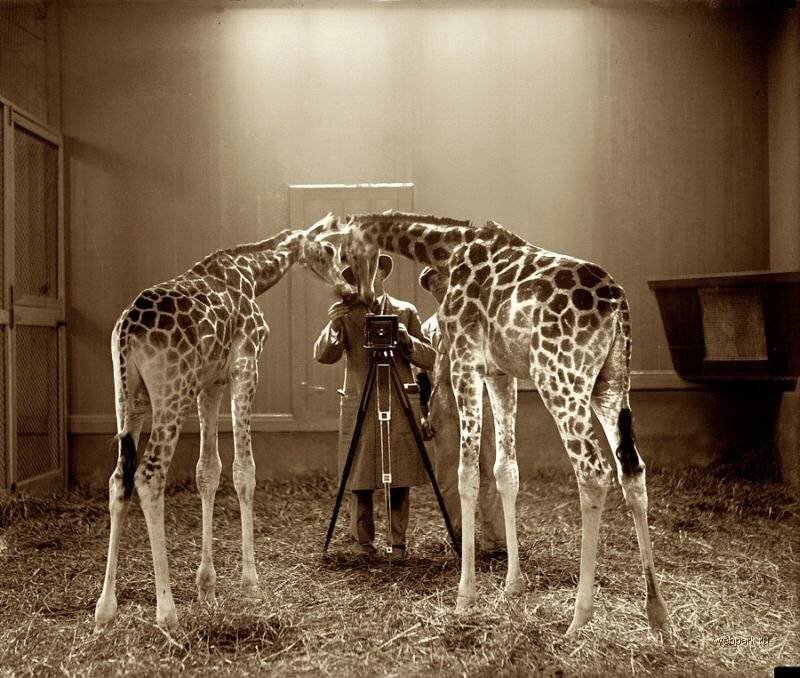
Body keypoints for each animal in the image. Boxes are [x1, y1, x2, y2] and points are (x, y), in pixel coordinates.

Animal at [94, 214, 344, 633]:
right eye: (328, 248)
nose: (345, 280)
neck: (251, 275)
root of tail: (126, 331)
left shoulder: (210, 383)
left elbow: (207, 471)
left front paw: (207, 588)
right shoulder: (246, 364)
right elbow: (244, 470)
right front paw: (251, 584)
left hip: (127, 398)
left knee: (119, 479)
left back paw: (104, 610)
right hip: (170, 394)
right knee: (148, 475)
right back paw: (167, 613)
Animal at [323, 211, 669, 636]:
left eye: (348, 251)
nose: (356, 295)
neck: (447, 248)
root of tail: (618, 307)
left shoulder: (466, 363)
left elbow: (468, 475)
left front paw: (464, 598)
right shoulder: (501, 374)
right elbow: (506, 471)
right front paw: (512, 586)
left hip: (561, 378)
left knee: (593, 471)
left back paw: (578, 619)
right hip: (613, 384)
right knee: (631, 470)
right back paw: (657, 614)